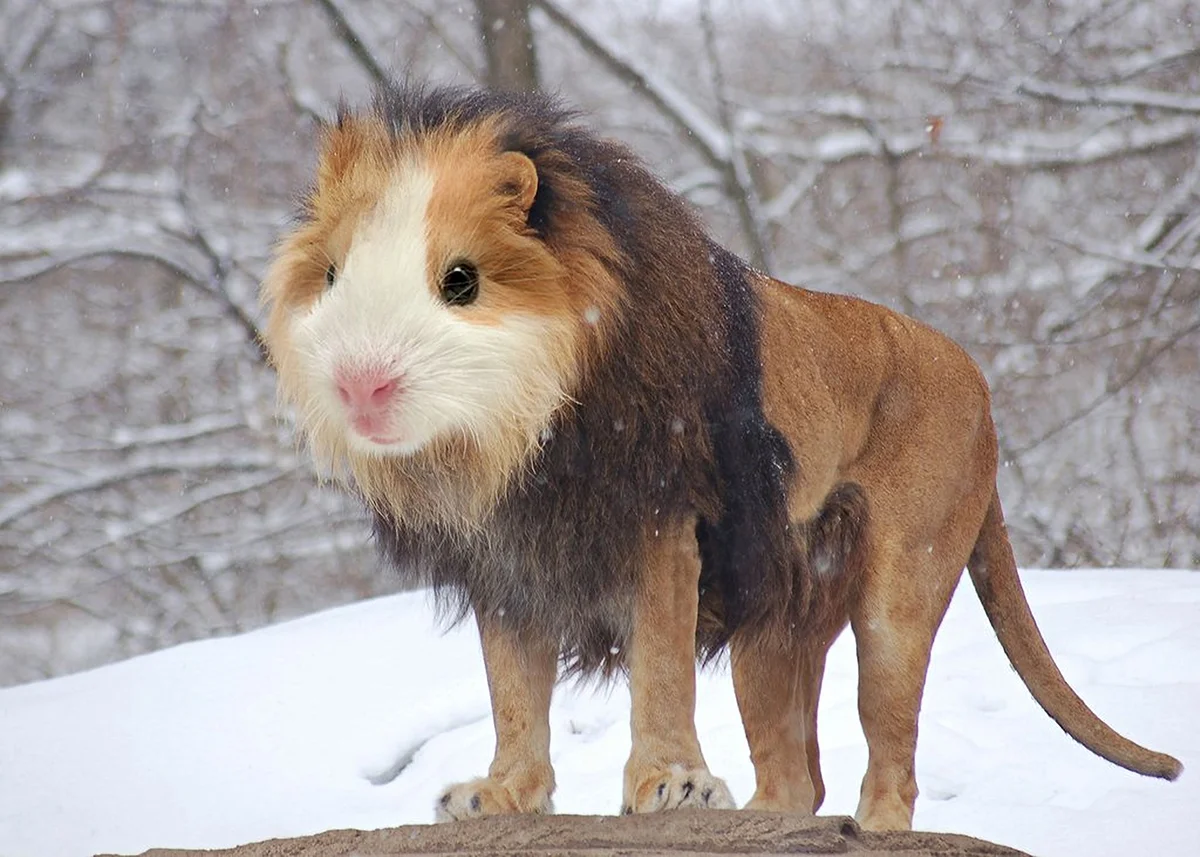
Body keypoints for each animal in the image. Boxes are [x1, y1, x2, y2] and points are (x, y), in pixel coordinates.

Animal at [259, 82, 1181, 832]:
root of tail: (981, 384)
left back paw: (869, 826)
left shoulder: (662, 519)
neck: (518, 443)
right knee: (799, 777)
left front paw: (670, 784)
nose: (359, 382)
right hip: (773, 628)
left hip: (900, 592)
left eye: (460, 281)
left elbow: (661, 665)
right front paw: (501, 794)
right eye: (332, 276)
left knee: (890, 752)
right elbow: (514, 692)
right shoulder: (508, 563)